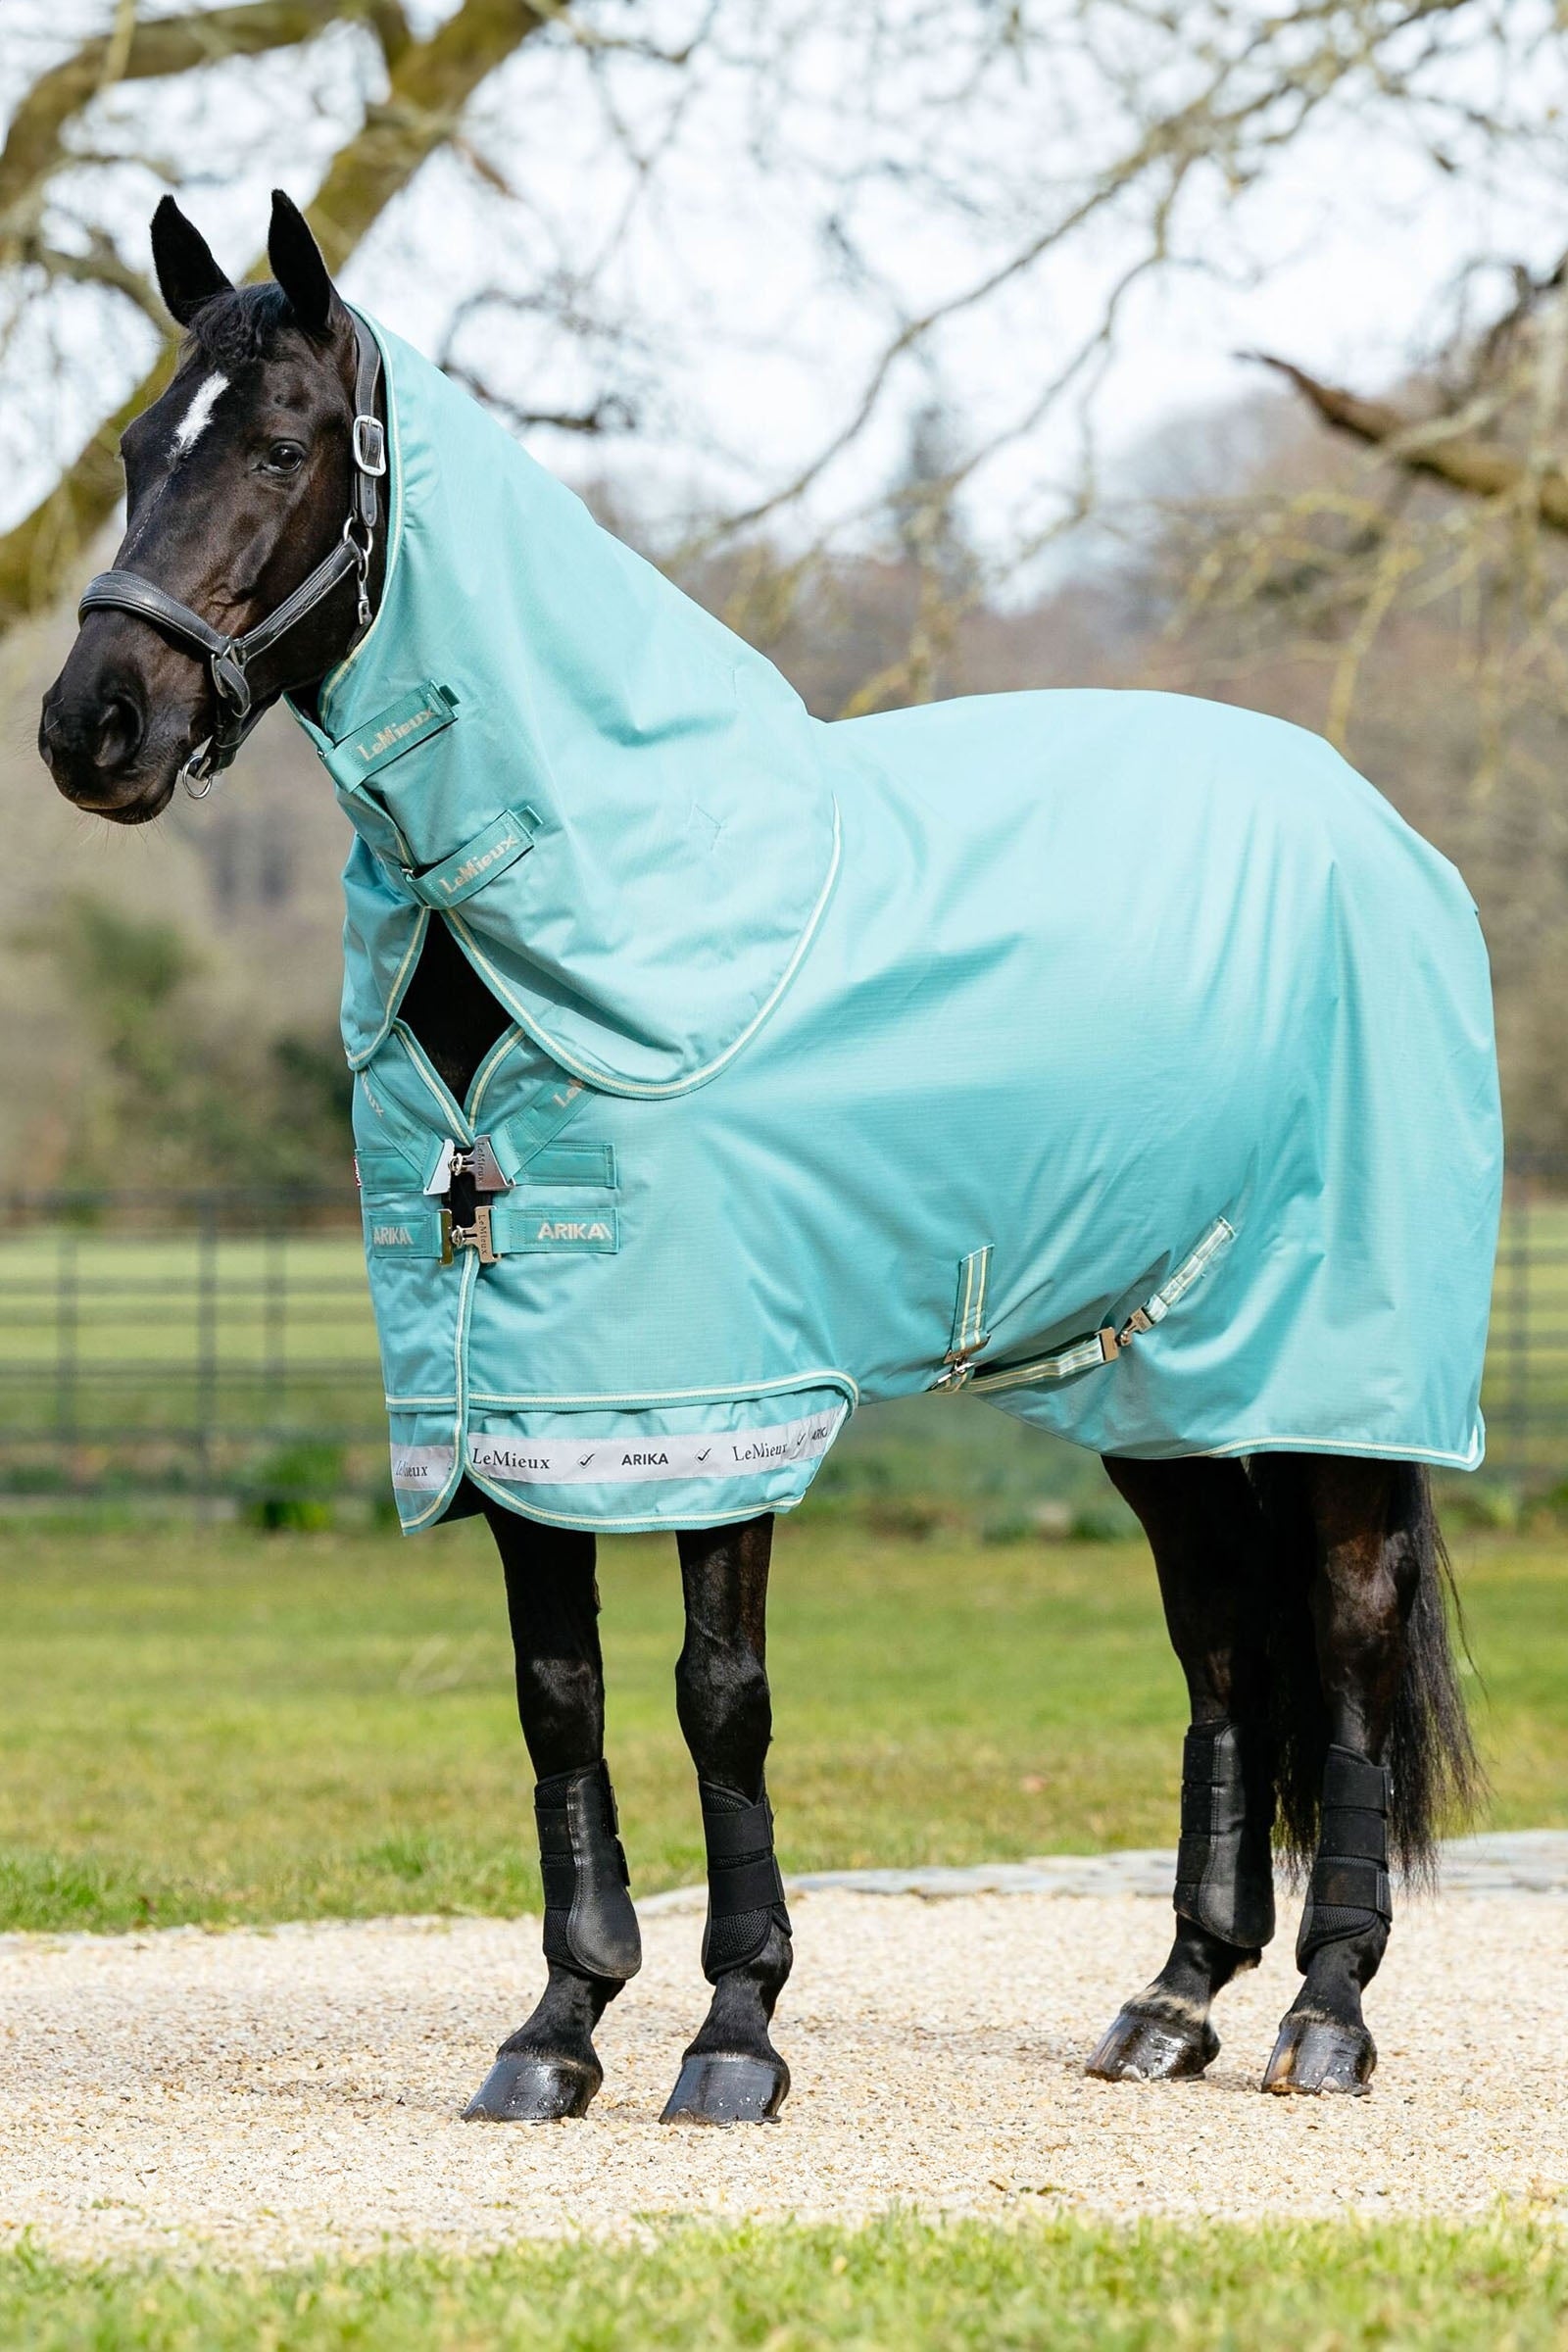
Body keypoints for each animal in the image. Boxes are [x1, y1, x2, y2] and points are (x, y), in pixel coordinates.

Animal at [39, 190, 1495, 2122]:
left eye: (280, 446)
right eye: (137, 450)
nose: (91, 728)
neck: (603, 901)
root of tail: (1386, 839)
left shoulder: (717, 1388)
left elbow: (715, 1693)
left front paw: (735, 2032)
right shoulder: (519, 1395)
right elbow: (559, 1693)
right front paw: (557, 2031)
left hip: (1337, 1365)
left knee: (1341, 1630)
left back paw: (1324, 2014)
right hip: (1156, 1377)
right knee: (1219, 1641)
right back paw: (1176, 1997)